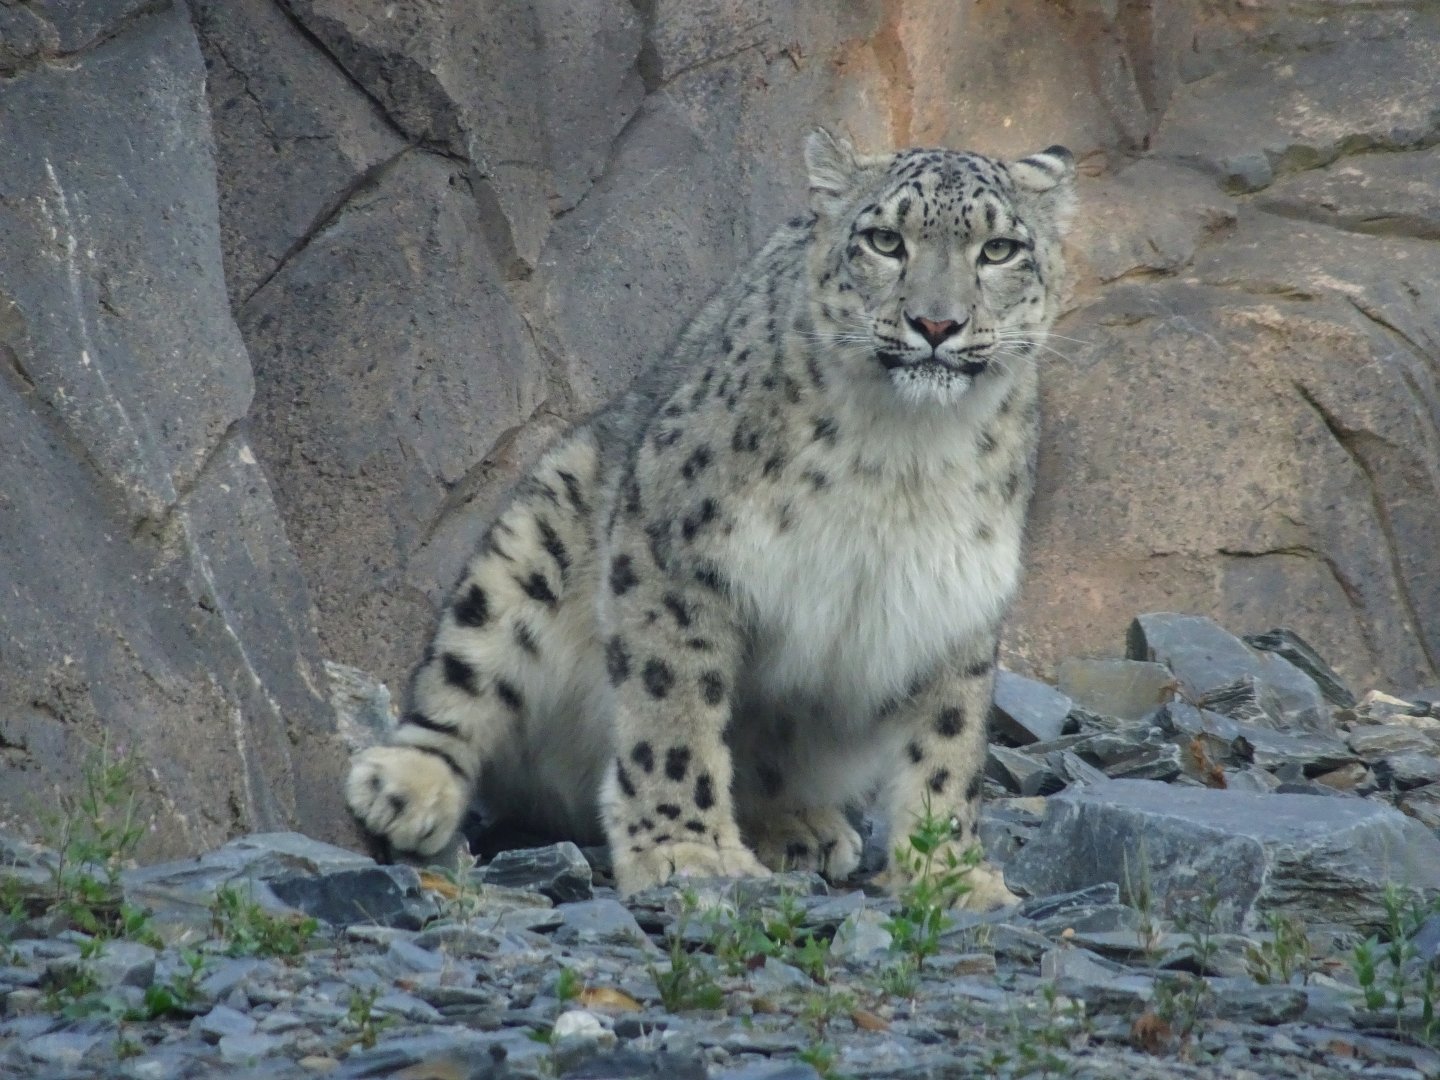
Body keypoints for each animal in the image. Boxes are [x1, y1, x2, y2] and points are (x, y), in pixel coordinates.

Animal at [345, 130, 1076, 909]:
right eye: (885, 240)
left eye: (999, 249)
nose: (937, 323)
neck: (904, 456)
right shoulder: (677, 549)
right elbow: (674, 705)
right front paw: (686, 851)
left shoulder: (954, 595)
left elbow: (948, 741)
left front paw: (951, 873)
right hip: (540, 525)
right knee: (464, 670)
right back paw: (405, 786)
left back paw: (803, 828)